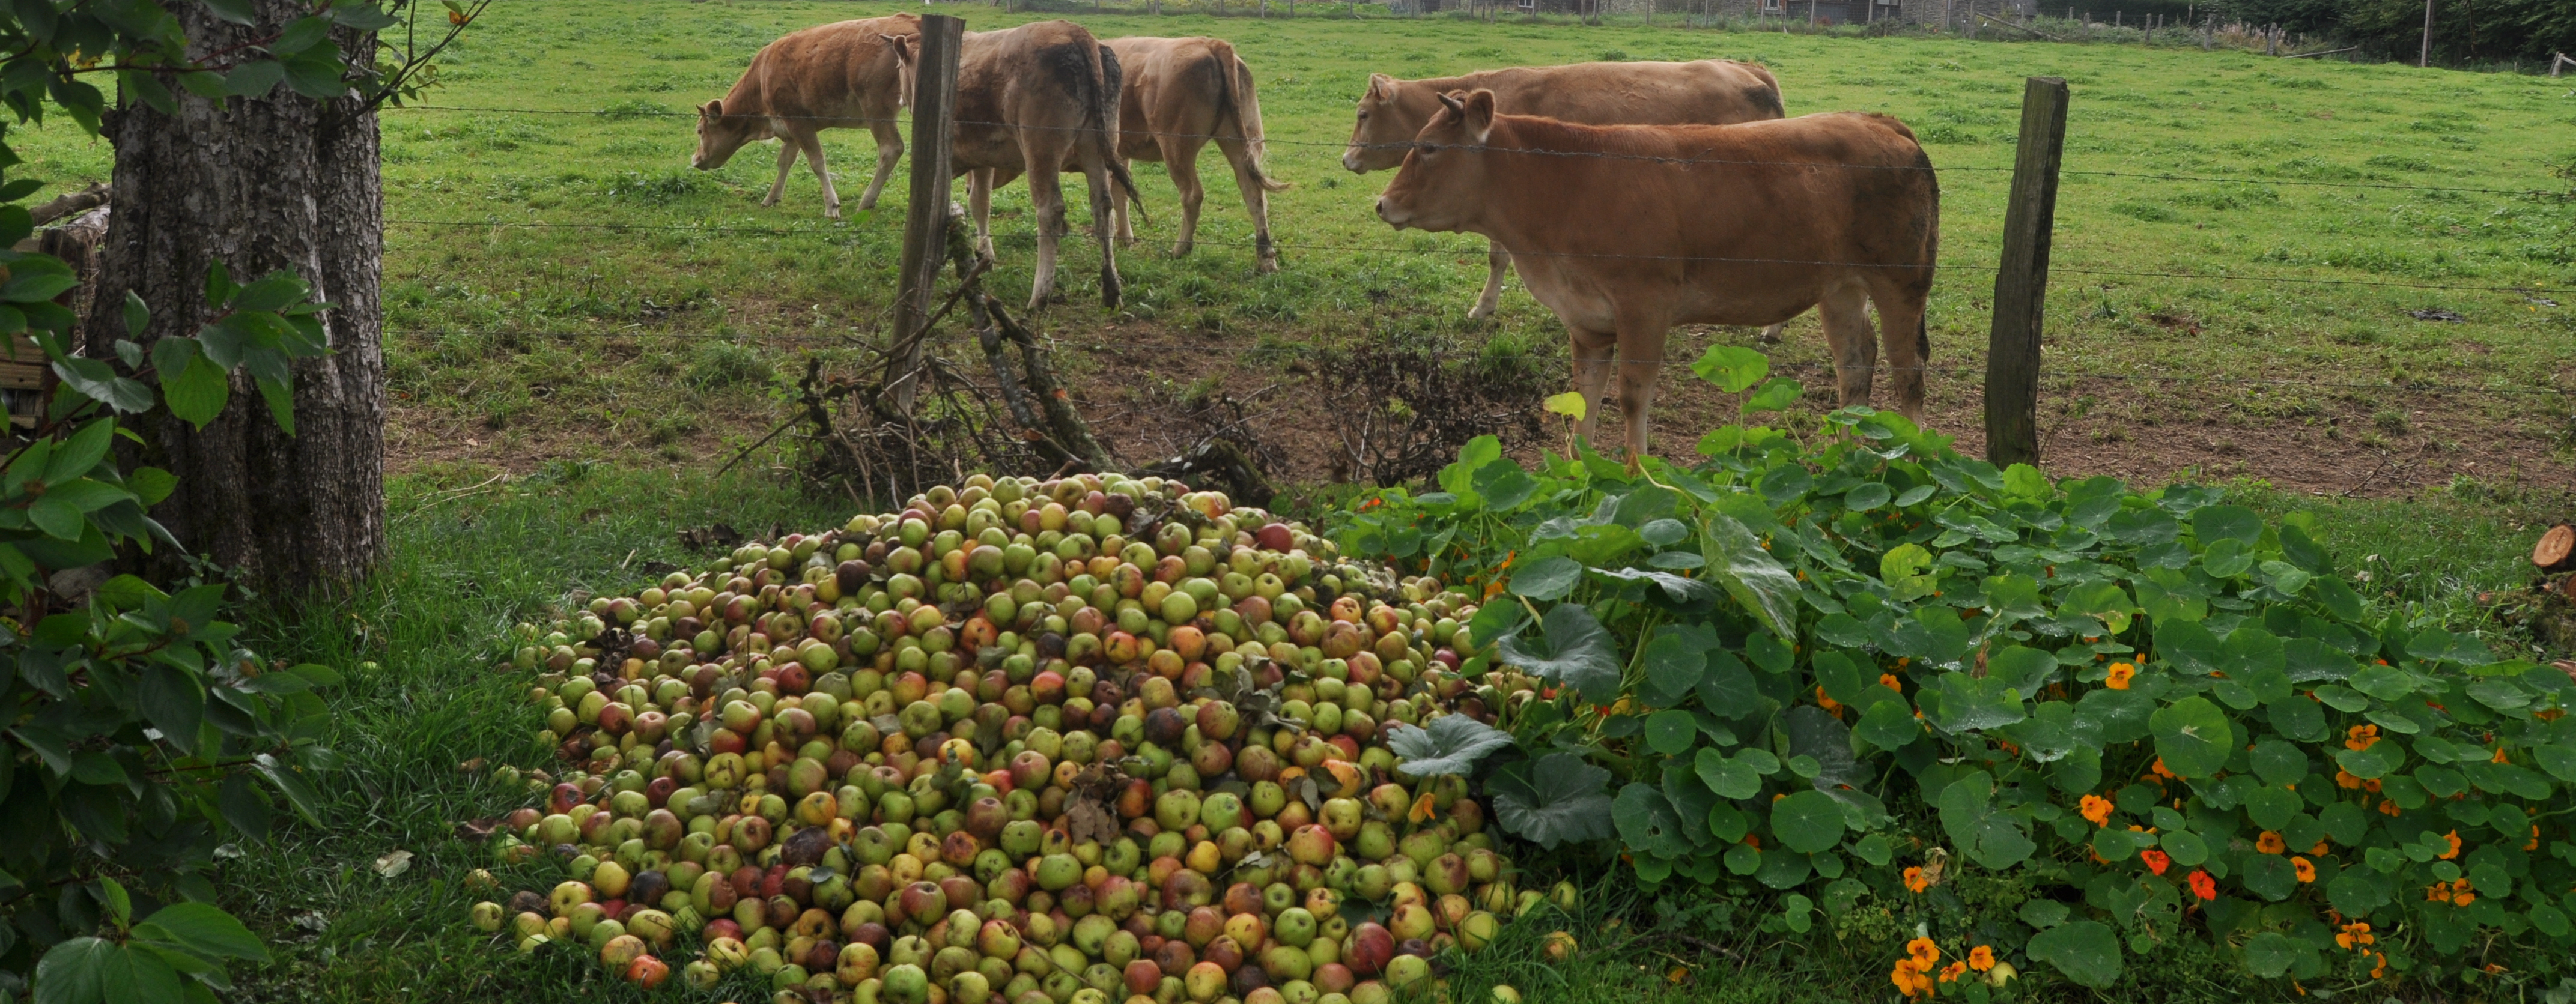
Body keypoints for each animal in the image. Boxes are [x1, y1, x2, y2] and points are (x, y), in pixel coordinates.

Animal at [690, 13, 922, 220]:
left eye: (700, 131)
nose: (695, 159)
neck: (762, 76)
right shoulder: (789, 127)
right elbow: (784, 161)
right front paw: (772, 198)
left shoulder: (799, 122)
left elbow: (817, 161)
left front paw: (831, 206)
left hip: (876, 109)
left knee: (891, 149)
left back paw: (866, 202)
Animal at [907, 24, 1149, 314]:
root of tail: (1074, 31)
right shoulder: (984, 159)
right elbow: (979, 202)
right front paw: (983, 255)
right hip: (1099, 148)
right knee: (1103, 208)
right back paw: (1112, 292)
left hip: (1041, 150)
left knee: (1050, 210)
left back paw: (1039, 297)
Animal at [1097, 35, 1288, 273]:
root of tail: (1210, 43)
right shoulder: (1120, 151)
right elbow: (1121, 191)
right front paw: (1124, 238)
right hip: (1241, 140)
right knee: (1253, 192)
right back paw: (1266, 259)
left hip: (1176, 146)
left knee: (1192, 194)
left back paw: (1180, 249)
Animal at [1370, 90, 1937, 458]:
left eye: (1429, 148)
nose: (1382, 204)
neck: (1565, 185)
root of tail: (1881, 122)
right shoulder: (1586, 319)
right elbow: (1584, 396)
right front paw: (1577, 469)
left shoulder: (1644, 307)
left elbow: (1631, 396)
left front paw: (1636, 470)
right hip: (1840, 287)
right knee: (1855, 363)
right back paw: (1844, 452)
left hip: (1902, 281)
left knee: (1907, 373)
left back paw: (1913, 458)